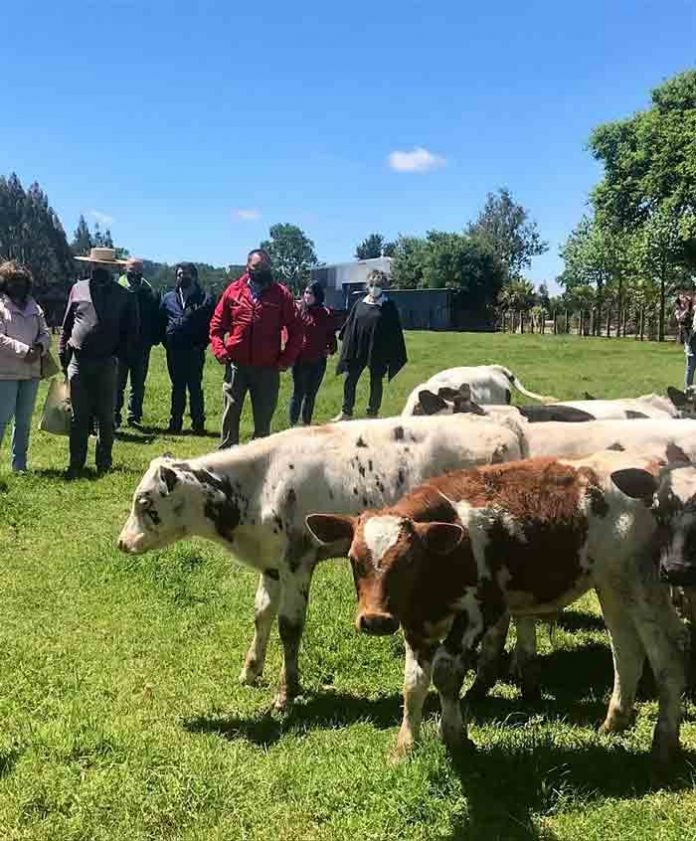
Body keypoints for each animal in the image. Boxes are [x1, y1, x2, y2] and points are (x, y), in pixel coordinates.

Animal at [117, 414, 524, 708]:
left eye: (145, 502)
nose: (122, 543)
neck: (262, 482)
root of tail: (501, 425)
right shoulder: (272, 565)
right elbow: (262, 614)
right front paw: (251, 670)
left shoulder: (298, 563)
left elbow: (289, 626)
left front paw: (287, 693)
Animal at [308, 450, 688, 772]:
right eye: (354, 560)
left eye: (410, 561)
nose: (375, 620)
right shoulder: (416, 622)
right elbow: (413, 684)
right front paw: (404, 746)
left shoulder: (482, 610)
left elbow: (445, 673)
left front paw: (456, 738)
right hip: (611, 583)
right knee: (626, 649)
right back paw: (614, 721)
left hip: (643, 583)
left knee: (668, 652)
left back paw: (664, 744)